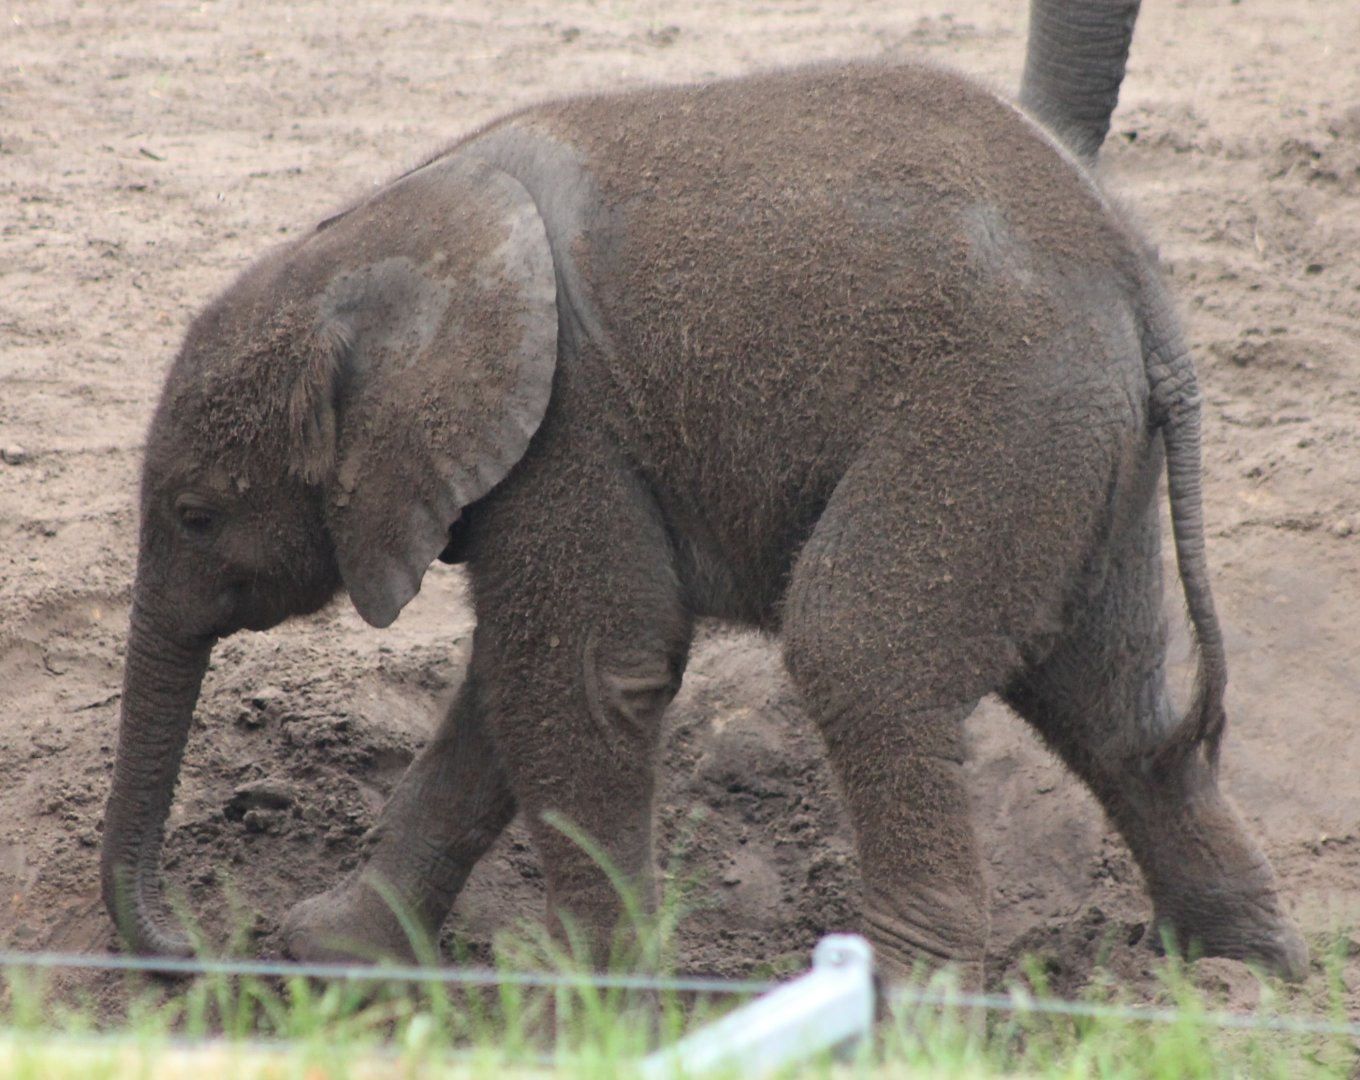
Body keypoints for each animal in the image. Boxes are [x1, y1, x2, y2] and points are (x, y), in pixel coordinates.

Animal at [101, 58, 1308, 985]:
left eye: (195, 514)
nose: (205, 950)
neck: (381, 237)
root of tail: (1136, 279)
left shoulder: (570, 426)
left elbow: (579, 682)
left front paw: (593, 1003)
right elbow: (504, 698)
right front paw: (331, 953)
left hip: (993, 415)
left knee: (860, 654)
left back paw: (899, 1013)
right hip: (1078, 451)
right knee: (1114, 709)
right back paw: (1245, 982)